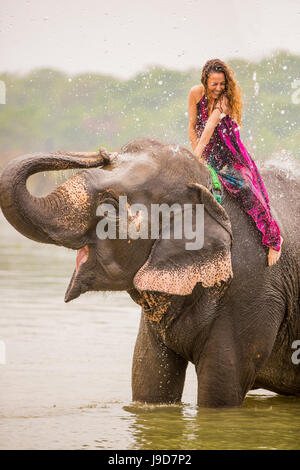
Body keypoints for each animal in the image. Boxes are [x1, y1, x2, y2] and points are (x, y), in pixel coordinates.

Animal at [0, 137, 298, 408]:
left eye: (111, 206)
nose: (102, 153)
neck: (209, 192)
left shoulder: (252, 294)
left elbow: (220, 393)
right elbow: (150, 379)